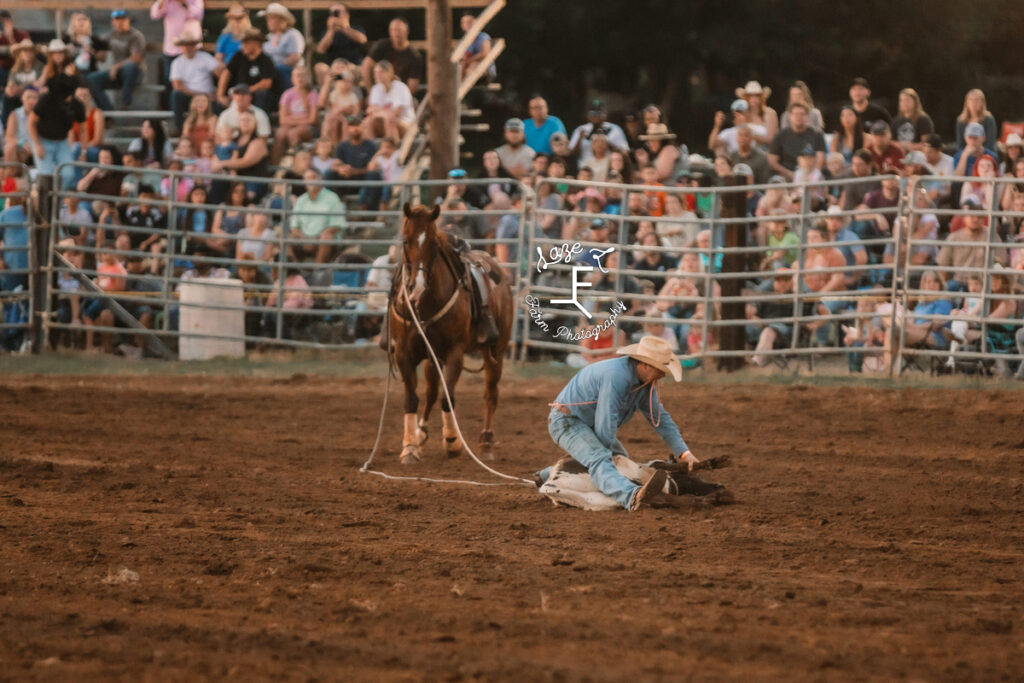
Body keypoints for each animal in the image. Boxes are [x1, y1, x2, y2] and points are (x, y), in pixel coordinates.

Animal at [387, 204, 516, 464]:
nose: (416, 287)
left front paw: (452, 441)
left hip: (495, 350)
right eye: (405, 240)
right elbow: (413, 398)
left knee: (490, 393)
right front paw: (410, 447)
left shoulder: (455, 352)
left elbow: (448, 398)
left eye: (434, 244)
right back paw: (421, 432)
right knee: (432, 390)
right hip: (433, 358)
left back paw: (486, 443)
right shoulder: (404, 354)